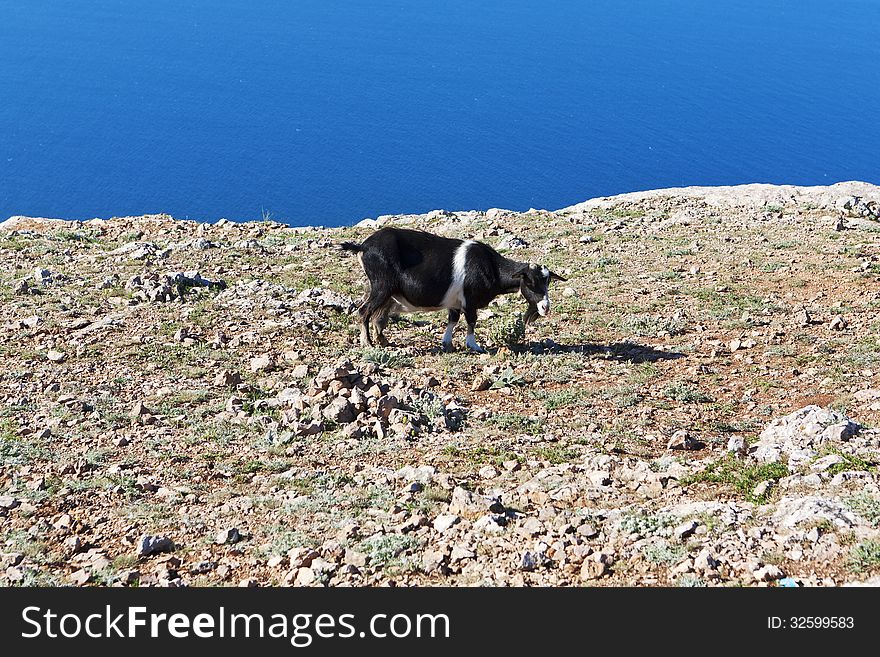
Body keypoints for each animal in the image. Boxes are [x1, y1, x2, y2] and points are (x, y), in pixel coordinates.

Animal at [340, 227, 568, 352]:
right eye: (530, 282)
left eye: (548, 282)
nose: (545, 307)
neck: (491, 266)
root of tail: (363, 247)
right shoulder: (470, 299)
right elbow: (471, 321)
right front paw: (474, 345)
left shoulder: (455, 302)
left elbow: (453, 319)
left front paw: (447, 343)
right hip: (381, 286)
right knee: (364, 310)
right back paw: (367, 343)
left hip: (384, 290)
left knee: (378, 314)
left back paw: (383, 340)